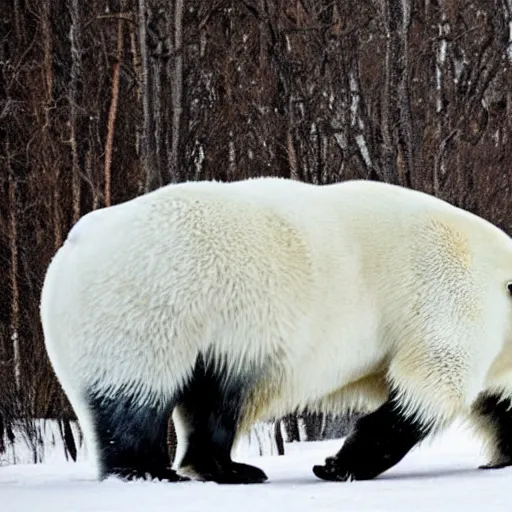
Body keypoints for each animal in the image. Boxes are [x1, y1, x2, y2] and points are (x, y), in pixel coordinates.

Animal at [39, 179, 512, 484]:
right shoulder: (449, 293)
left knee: (214, 397)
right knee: (136, 394)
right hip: (147, 302)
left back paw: (227, 469)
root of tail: (76, 241)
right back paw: (151, 471)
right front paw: (336, 465)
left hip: (216, 336)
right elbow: (427, 389)